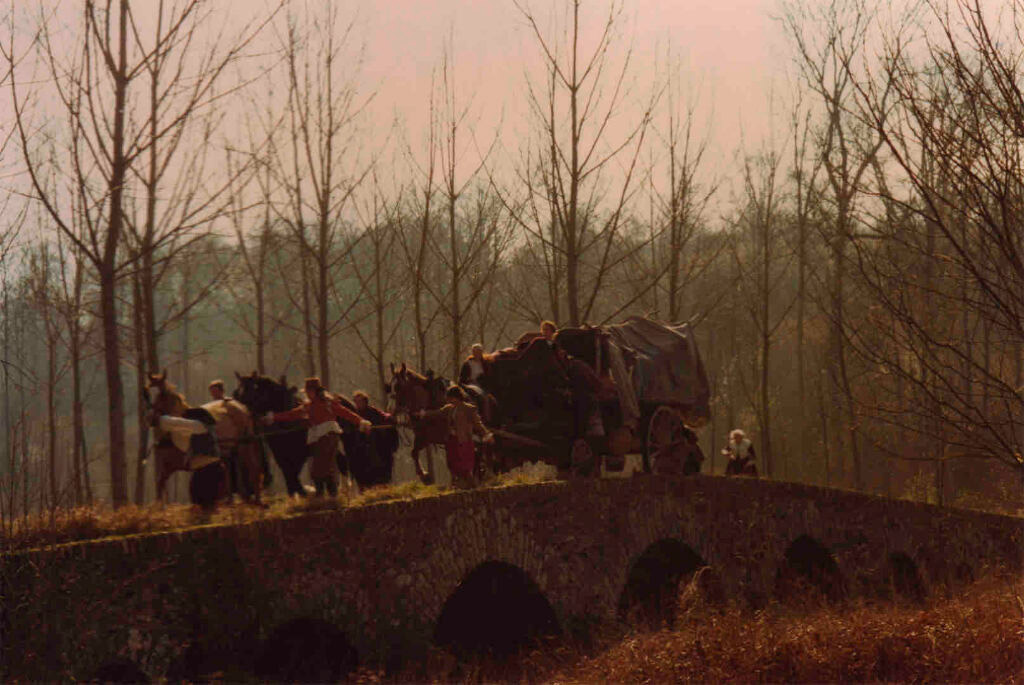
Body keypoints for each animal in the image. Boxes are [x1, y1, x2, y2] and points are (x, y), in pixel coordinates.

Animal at [146, 370, 264, 505]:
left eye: (161, 395)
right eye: (149, 393)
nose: (150, 419)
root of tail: (241, 407)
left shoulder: (174, 463)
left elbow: (161, 481)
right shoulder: (168, 463)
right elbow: (160, 482)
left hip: (244, 443)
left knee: (252, 467)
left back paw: (257, 500)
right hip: (230, 448)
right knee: (230, 468)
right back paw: (231, 500)